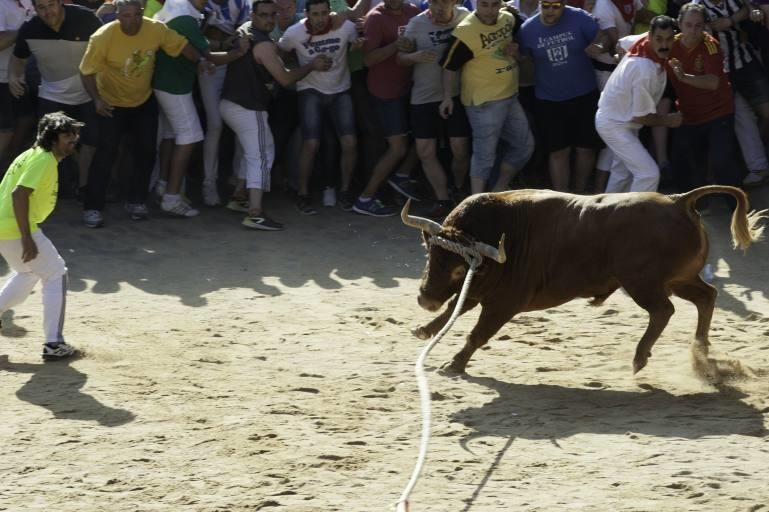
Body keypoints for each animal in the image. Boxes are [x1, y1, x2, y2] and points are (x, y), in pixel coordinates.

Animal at [404, 186, 764, 374]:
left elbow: (477, 332)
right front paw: (426, 329)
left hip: (643, 283)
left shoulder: (505, 303)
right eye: (430, 256)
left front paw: (454, 363)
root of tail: (679, 201)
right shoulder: (481, 290)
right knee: (706, 297)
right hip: (680, 279)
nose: (424, 299)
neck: (504, 231)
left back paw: (641, 357)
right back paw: (700, 350)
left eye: (457, 269)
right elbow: (455, 307)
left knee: (664, 311)